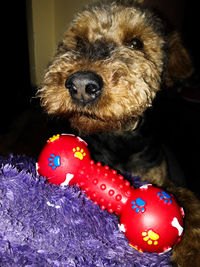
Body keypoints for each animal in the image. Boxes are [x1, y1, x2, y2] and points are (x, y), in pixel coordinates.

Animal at [37, 1, 200, 266]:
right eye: (79, 41)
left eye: (136, 43)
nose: (81, 85)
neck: (119, 138)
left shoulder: (162, 179)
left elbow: (189, 203)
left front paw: (192, 252)